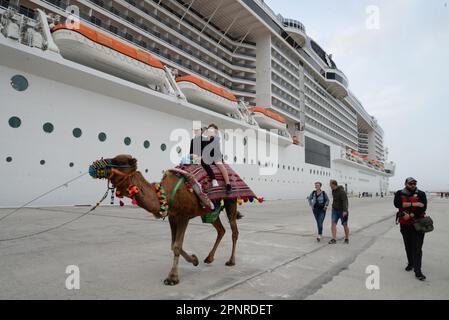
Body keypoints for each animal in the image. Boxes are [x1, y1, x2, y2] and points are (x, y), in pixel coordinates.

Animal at [89, 154, 240, 284]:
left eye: (119, 161)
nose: (94, 165)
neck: (166, 194)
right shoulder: (172, 217)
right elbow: (173, 245)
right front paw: (194, 259)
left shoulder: (184, 216)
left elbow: (177, 245)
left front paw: (172, 278)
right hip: (210, 211)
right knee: (221, 230)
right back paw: (209, 258)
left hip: (230, 202)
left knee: (234, 231)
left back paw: (231, 261)